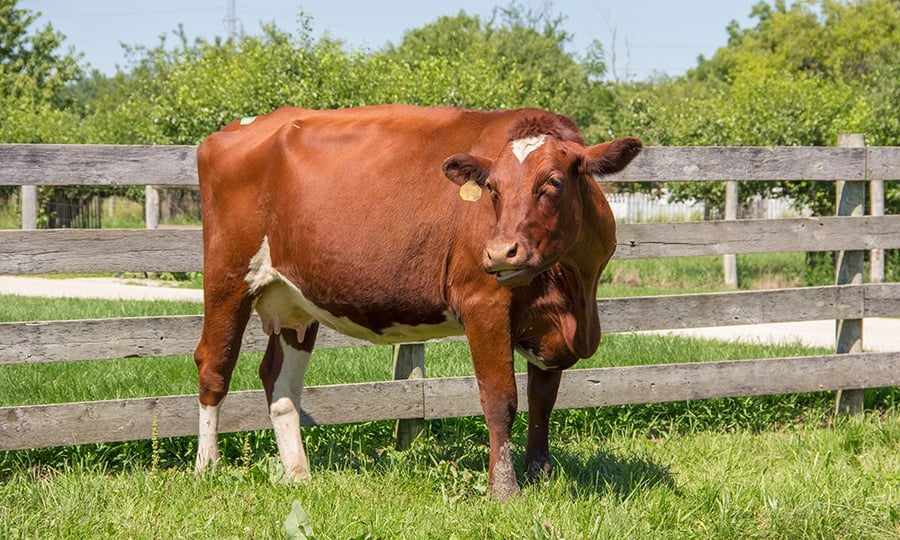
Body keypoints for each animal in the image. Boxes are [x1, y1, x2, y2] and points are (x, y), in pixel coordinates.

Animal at [193, 104, 642, 499]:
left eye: (553, 182)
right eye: (491, 188)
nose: (500, 252)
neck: (573, 291)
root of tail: (242, 126)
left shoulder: (550, 327)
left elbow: (542, 402)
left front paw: (538, 476)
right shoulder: (483, 304)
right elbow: (501, 400)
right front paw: (504, 490)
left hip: (294, 302)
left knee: (280, 381)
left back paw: (298, 473)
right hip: (227, 276)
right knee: (214, 366)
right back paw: (207, 467)